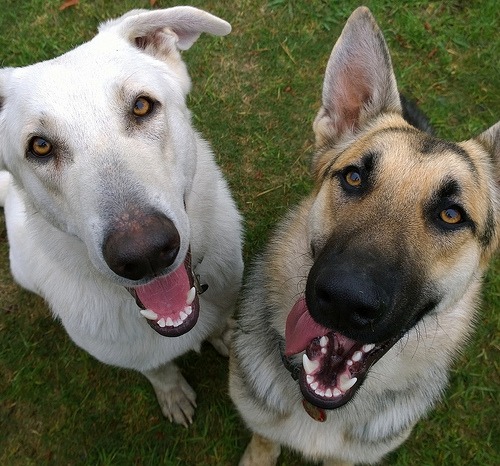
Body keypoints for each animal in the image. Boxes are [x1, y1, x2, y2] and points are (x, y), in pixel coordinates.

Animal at [0, 6, 243, 426]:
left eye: (142, 106)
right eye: (40, 146)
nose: (145, 254)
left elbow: (221, 325)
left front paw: (226, 337)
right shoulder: (135, 357)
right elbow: (158, 371)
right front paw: (173, 394)